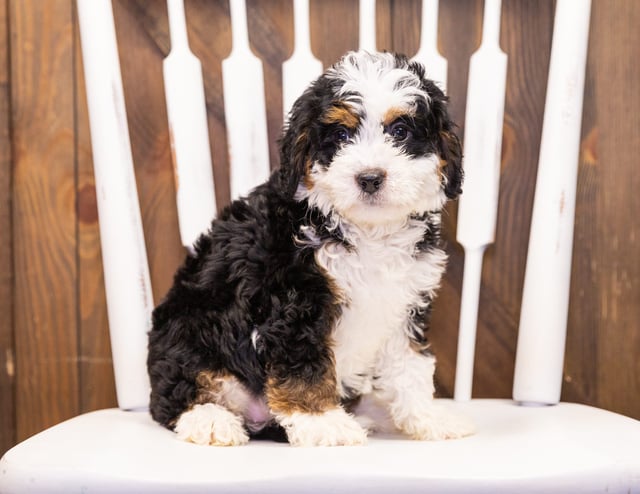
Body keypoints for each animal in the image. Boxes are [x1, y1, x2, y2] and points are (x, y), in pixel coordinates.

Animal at [148, 52, 472, 446]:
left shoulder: (403, 304)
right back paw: (210, 421)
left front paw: (428, 418)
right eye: (341, 135)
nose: (369, 178)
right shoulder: (293, 300)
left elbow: (410, 366)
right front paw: (323, 422)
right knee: (177, 395)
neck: (365, 231)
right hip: (189, 329)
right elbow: (303, 365)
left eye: (401, 132)